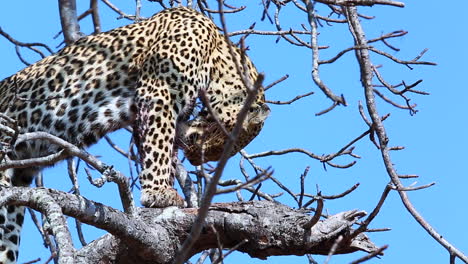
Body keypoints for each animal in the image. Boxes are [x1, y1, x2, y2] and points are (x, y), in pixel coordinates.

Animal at [0, 6, 268, 264]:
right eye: (226, 141)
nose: (194, 160)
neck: (216, 54)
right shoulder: (158, 91)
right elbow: (159, 146)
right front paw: (158, 194)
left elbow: (160, 148)